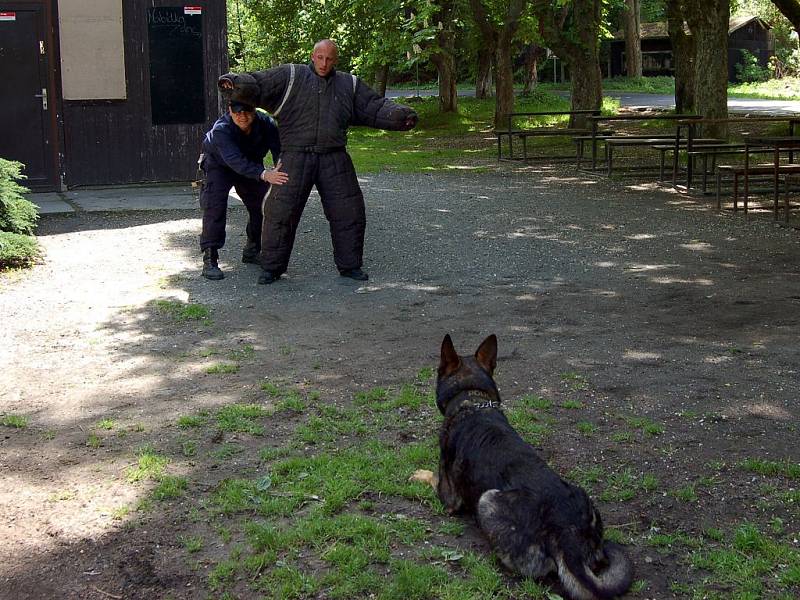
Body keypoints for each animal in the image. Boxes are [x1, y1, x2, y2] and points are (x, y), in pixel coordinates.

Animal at [412, 336, 632, 596]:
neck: (473, 400)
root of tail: (567, 531)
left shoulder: (449, 498)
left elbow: (432, 477)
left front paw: (419, 474)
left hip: (487, 500)